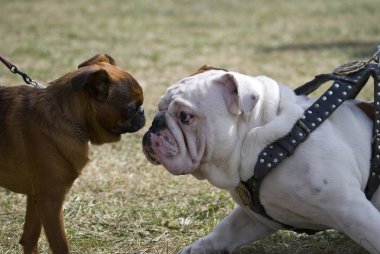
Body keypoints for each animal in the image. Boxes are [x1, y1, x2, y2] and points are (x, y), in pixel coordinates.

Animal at [0, 54, 145, 254]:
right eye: (131, 109)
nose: (143, 112)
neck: (67, 118)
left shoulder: (36, 197)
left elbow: (30, 238)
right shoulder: (50, 201)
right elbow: (60, 245)